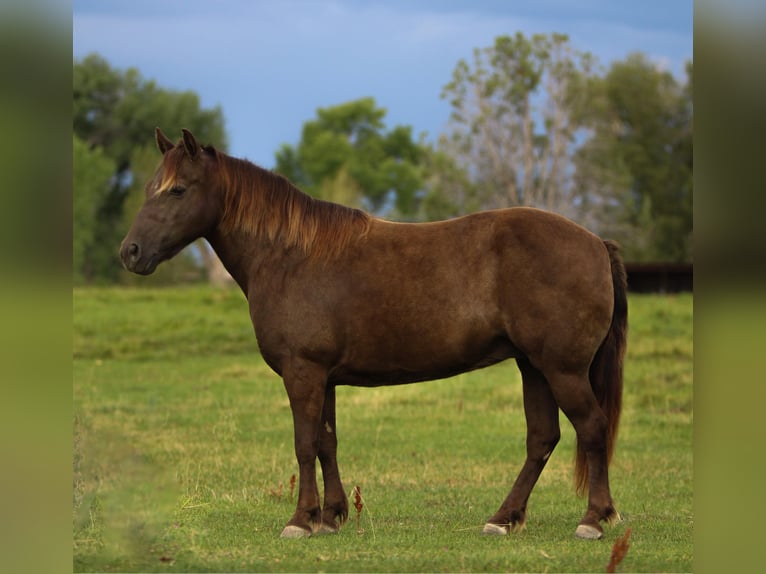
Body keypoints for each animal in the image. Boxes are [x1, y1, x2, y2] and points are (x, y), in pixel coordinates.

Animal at [118, 128, 624, 544]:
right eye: (148, 189)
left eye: (178, 190)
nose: (130, 252)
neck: (289, 256)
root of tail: (596, 243)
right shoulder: (323, 377)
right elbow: (326, 442)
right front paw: (330, 516)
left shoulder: (303, 372)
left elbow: (304, 443)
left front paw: (300, 520)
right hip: (532, 366)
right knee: (542, 438)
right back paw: (503, 518)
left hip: (562, 369)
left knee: (591, 428)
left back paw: (593, 520)